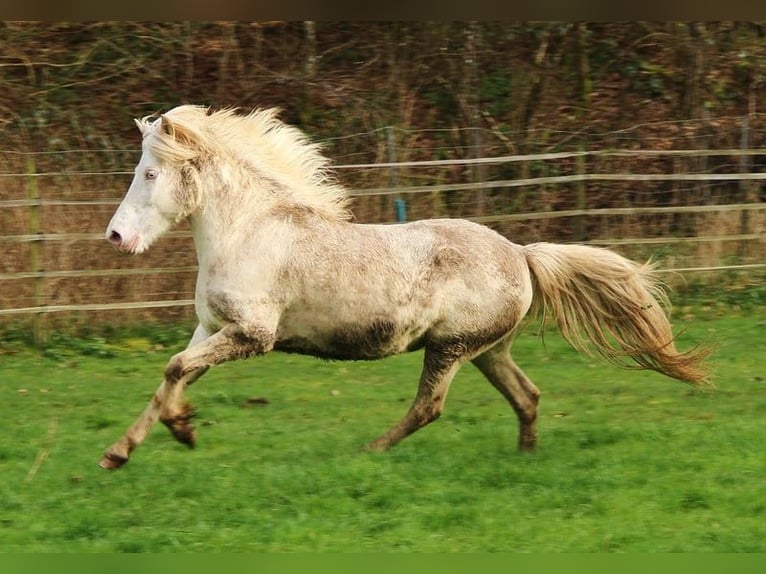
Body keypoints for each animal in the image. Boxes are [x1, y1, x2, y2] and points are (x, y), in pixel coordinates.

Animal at [100, 106, 712, 470]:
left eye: (150, 173)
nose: (116, 236)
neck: (249, 230)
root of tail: (520, 254)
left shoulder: (253, 335)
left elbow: (175, 369)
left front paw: (179, 432)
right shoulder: (212, 327)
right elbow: (174, 373)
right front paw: (123, 450)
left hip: (449, 348)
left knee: (429, 407)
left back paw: (366, 451)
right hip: (489, 350)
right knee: (527, 396)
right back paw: (524, 459)